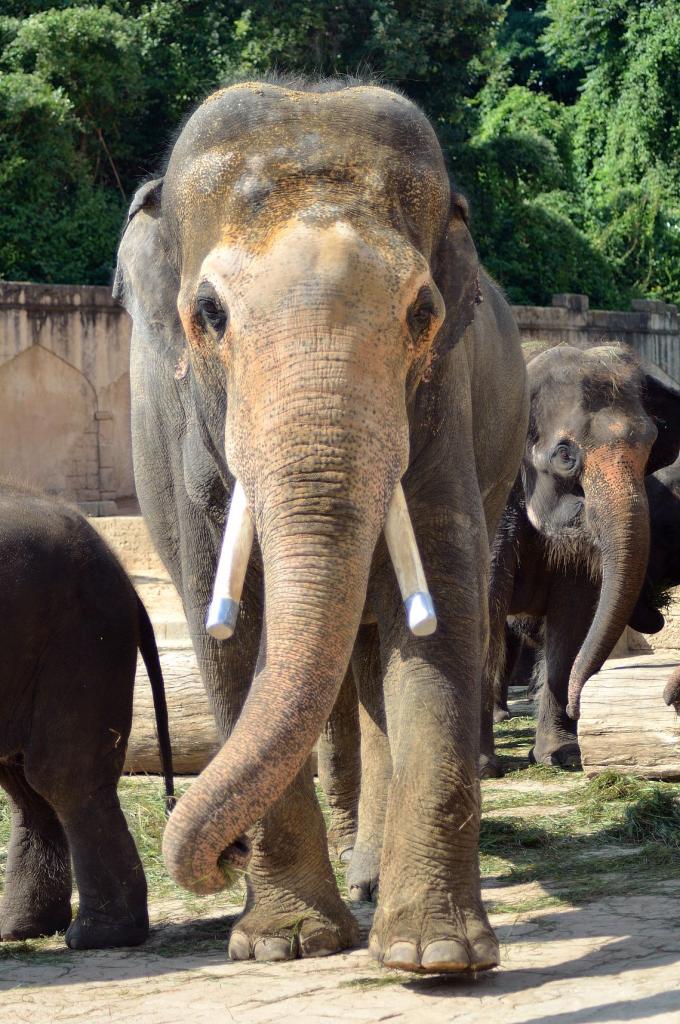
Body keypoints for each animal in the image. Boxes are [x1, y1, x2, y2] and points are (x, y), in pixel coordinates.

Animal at [114, 76, 528, 974]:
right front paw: (286, 945)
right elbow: (227, 633)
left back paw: (372, 879)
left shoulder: (442, 408)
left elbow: (443, 604)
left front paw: (434, 958)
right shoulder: (174, 437)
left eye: (422, 312)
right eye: (209, 313)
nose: (224, 853)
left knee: (378, 656)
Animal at [481, 344, 680, 774]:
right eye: (565, 455)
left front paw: (563, 756)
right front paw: (483, 767)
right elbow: (483, 600)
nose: (577, 706)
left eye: (650, 451)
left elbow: (574, 608)